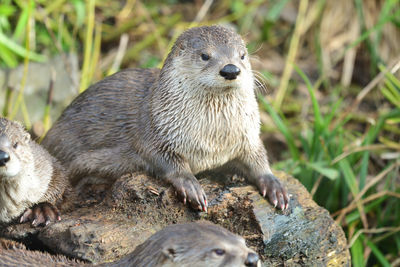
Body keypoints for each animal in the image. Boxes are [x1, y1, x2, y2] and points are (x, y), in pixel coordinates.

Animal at [42, 26, 290, 213]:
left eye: (242, 55)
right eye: (205, 55)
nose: (230, 69)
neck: (213, 139)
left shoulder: (248, 136)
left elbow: (258, 158)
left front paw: (274, 184)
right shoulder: (155, 133)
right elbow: (165, 161)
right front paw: (191, 185)